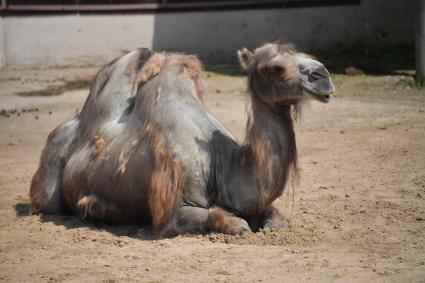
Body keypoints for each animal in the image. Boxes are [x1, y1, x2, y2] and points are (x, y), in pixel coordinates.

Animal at [29, 42, 334, 237]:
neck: (224, 164)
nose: (323, 76)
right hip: (49, 184)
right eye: (274, 68)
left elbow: (275, 219)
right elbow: (228, 221)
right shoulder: (174, 208)